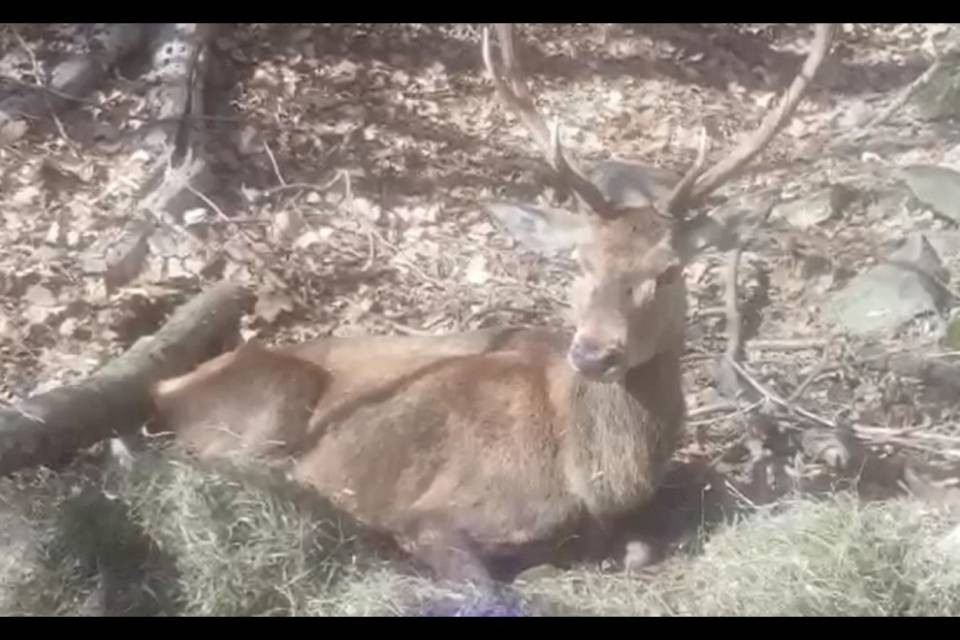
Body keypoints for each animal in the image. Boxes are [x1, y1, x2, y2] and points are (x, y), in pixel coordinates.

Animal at [147, 24, 835, 586]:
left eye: (667, 271)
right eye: (579, 262)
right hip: (268, 396)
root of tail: (165, 389)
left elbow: (639, 548)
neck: (595, 480)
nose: (595, 353)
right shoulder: (436, 511)